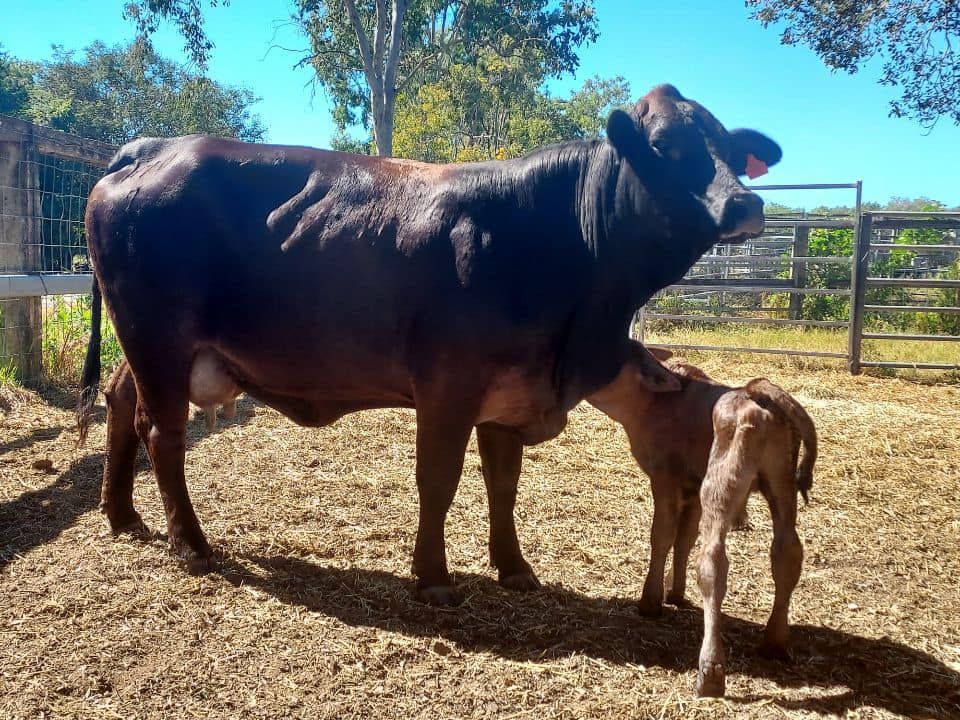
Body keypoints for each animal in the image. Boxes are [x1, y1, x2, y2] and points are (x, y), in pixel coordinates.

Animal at [77, 83, 782, 606]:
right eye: (665, 147)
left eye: (725, 144)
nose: (745, 204)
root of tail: (151, 147)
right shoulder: (449, 386)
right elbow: (438, 480)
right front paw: (433, 575)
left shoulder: (510, 395)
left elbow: (503, 484)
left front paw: (514, 567)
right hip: (158, 337)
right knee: (163, 432)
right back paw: (190, 545)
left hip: (147, 345)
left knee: (121, 403)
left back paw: (122, 515)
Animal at [588, 345, 817, 697]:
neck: (651, 403)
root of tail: (755, 391)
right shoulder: (692, 486)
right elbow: (684, 538)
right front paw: (675, 592)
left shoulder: (666, 477)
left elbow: (662, 535)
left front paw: (651, 600)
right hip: (780, 482)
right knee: (787, 553)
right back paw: (775, 642)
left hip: (720, 483)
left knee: (713, 561)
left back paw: (710, 672)